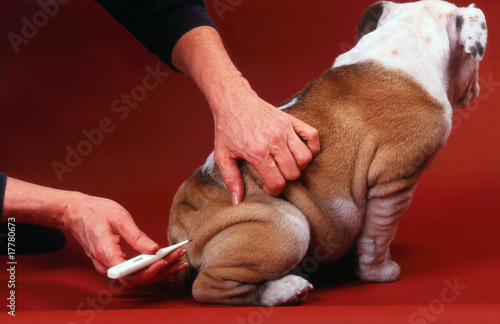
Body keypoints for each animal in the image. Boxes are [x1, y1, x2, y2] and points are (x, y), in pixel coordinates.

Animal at [166, 0, 486, 306]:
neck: (406, 35)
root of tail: (179, 229)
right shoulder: (394, 182)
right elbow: (379, 236)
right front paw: (380, 272)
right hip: (288, 226)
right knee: (209, 287)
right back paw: (284, 291)